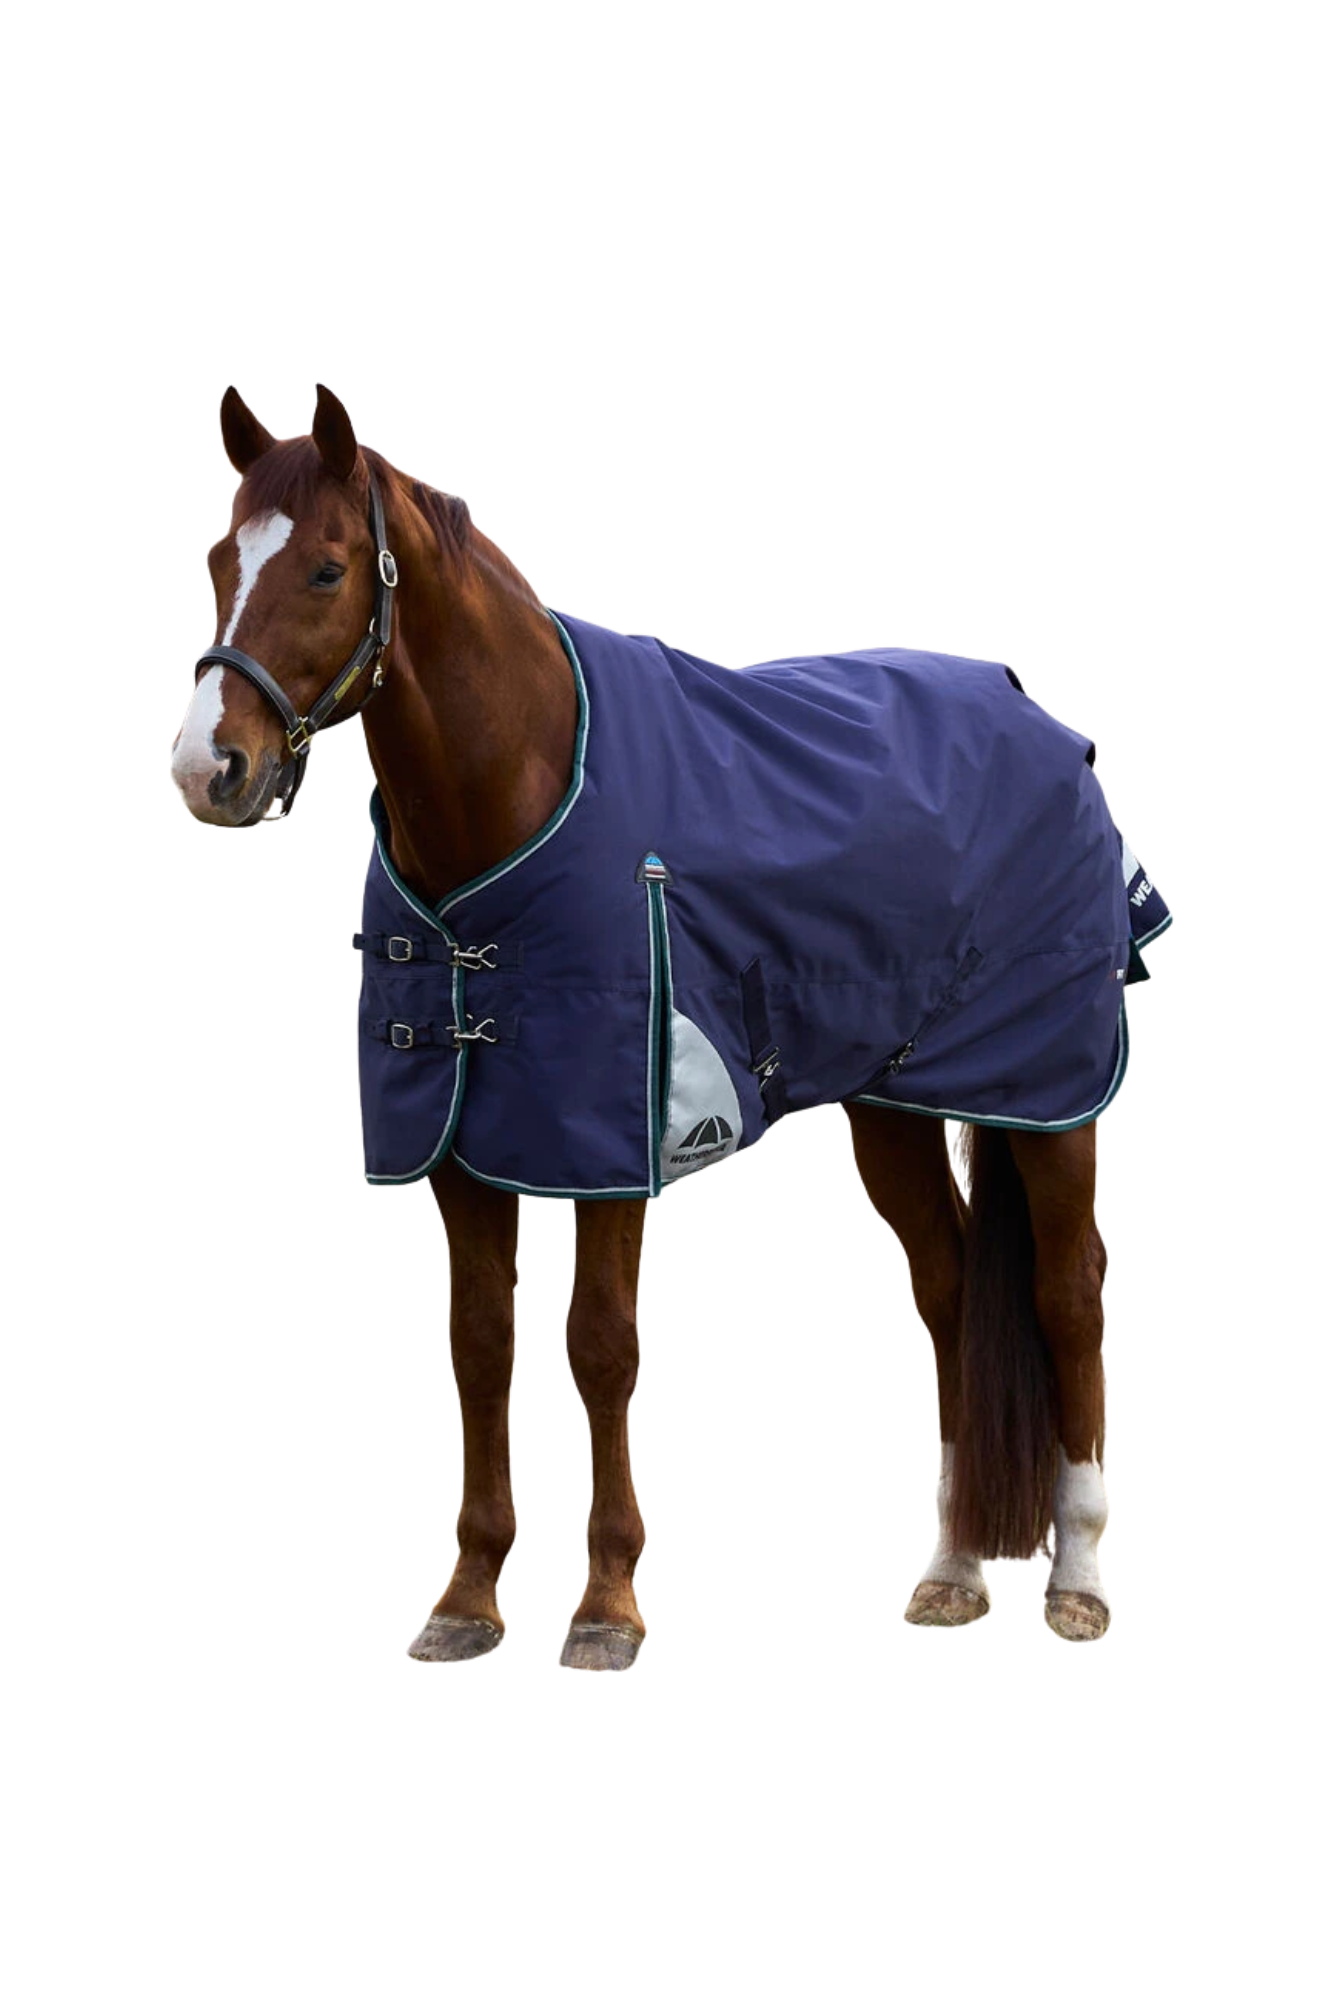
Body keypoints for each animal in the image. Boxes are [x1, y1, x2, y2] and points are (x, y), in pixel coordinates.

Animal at [171, 383, 1164, 1664]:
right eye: (216, 561)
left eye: (329, 569)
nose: (208, 768)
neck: (525, 785)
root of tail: (1035, 717)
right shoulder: (459, 1142)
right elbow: (481, 1343)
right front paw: (466, 1599)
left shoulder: (613, 1141)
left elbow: (599, 1343)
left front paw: (604, 1606)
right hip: (898, 1107)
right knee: (947, 1298)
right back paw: (949, 1571)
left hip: (1053, 1097)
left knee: (1068, 1293)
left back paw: (1076, 1581)